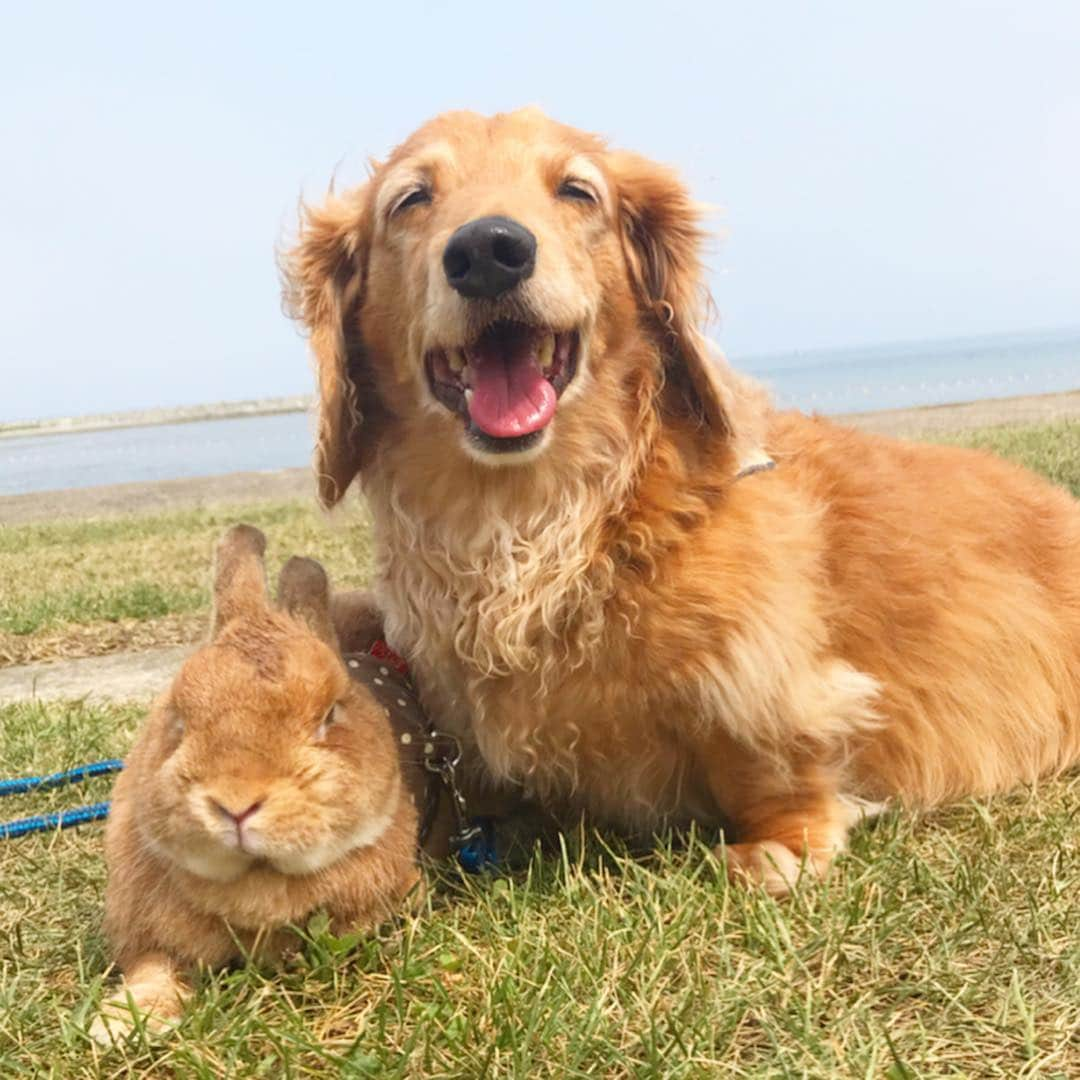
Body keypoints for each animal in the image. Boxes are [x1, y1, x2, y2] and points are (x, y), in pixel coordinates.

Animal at [89, 524, 434, 1045]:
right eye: (179, 717)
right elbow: (153, 968)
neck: (255, 884)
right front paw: (121, 1023)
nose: (236, 804)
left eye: (329, 715)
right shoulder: (151, 938)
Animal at [285, 107, 1080, 894]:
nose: (488, 249)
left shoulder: (760, 680)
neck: (538, 529)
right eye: (411, 200)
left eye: (577, 191)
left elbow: (771, 764)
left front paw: (778, 847)